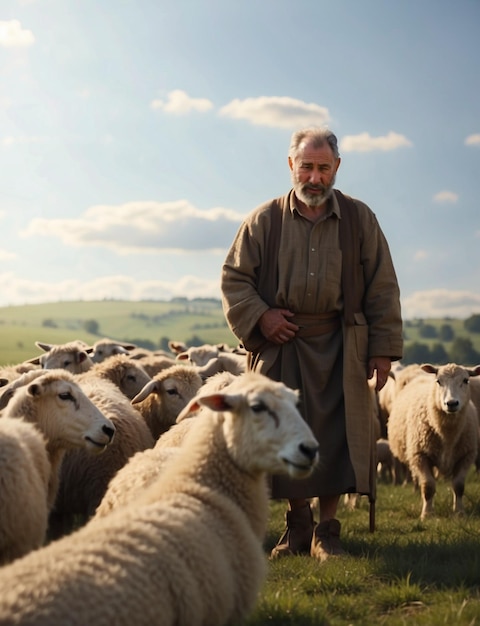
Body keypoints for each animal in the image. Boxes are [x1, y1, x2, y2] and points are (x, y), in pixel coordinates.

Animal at [386, 360, 480, 516]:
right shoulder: (420, 455)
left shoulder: (466, 455)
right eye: (438, 381)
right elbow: (428, 486)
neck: (448, 435)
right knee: (419, 480)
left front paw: (459, 512)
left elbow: (459, 486)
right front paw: (427, 514)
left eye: (466, 380)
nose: (451, 403)